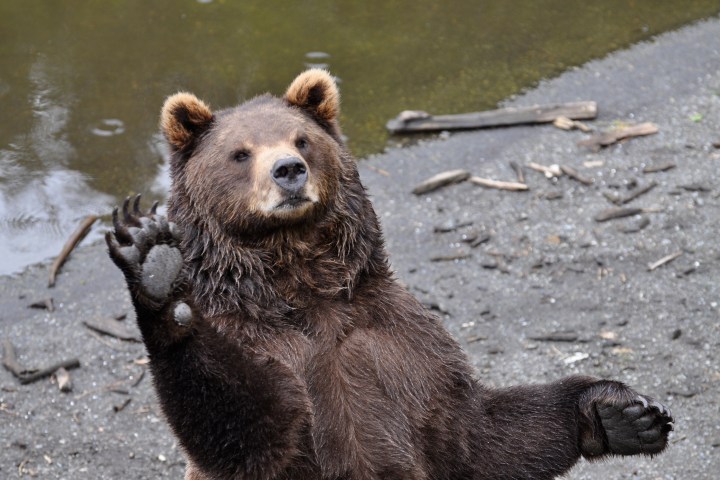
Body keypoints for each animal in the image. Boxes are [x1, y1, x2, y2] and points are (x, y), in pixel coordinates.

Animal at [106, 69, 673, 480]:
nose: (288, 170)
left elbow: (479, 436)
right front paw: (157, 271)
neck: (304, 289)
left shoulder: (399, 349)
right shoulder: (265, 347)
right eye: (239, 152)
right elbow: (249, 424)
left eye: (302, 139)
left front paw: (621, 414)